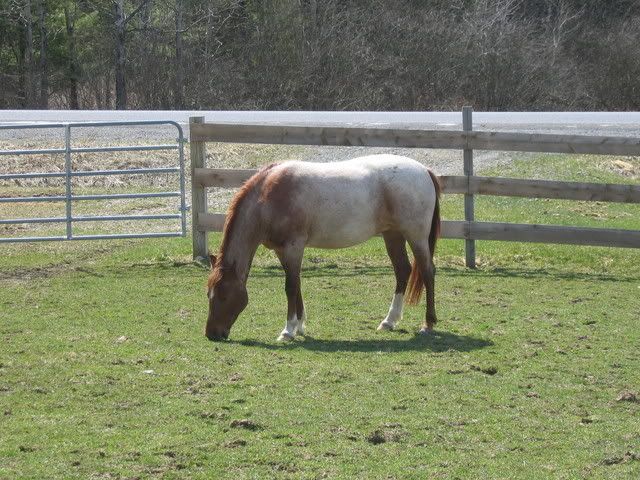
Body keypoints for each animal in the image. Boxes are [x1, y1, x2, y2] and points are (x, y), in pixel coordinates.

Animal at [205, 154, 440, 342]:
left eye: (223, 295)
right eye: (209, 294)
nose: (212, 334)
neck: (268, 198)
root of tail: (424, 170)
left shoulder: (293, 248)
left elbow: (290, 287)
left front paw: (288, 330)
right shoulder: (283, 251)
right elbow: (297, 284)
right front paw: (299, 326)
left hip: (416, 236)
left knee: (427, 271)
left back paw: (428, 324)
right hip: (393, 235)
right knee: (402, 271)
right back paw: (389, 321)